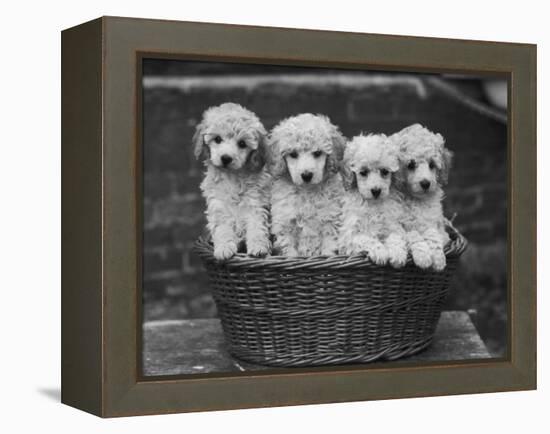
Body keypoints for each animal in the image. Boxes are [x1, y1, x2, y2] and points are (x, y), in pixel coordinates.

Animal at [194, 103, 272, 260]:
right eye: (217, 139)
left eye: (242, 143)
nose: (226, 158)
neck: (233, 177)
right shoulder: (218, 206)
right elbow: (222, 229)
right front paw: (224, 248)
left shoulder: (256, 203)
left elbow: (257, 226)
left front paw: (259, 247)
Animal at [268, 112, 344, 258]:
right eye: (293, 154)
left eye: (318, 153)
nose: (307, 175)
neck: (307, 191)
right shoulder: (285, 222)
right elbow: (289, 249)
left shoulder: (330, 220)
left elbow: (328, 246)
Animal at [340, 133, 410, 268]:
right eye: (363, 172)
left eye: (384, 171)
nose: (376, 190)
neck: (373, 204)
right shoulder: (350, 236)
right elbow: (366, 239)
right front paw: (380, 253)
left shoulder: (392, 224)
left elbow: (396, 237)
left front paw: (398, 254)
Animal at [394, 123, 454, 272]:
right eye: (411, 164)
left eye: (432, 164)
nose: (426, 183)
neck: (416, 200)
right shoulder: (399, 225)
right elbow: (413, 234)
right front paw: (423, 257)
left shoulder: (435, 224)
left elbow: (432, 234)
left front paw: (438, 259)